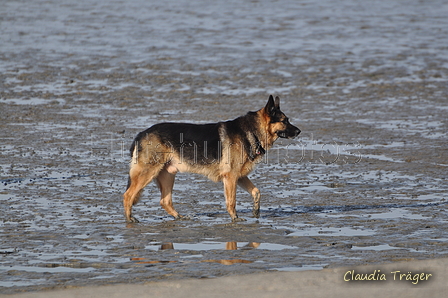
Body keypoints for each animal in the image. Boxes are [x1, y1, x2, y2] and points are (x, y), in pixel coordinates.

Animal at [122, 94, 300, 222]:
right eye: (284, 121)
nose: (299, 131)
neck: (252, 130)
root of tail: (142, 133)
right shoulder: (231, 178)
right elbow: (231, 201)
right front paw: (235, 219)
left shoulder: (240, 176)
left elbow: (257, 192)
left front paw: (256, 211)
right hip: (147, 174)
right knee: (128, 195)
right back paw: (130, 219)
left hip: (168, 175)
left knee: (164, 201)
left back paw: (179, 217)